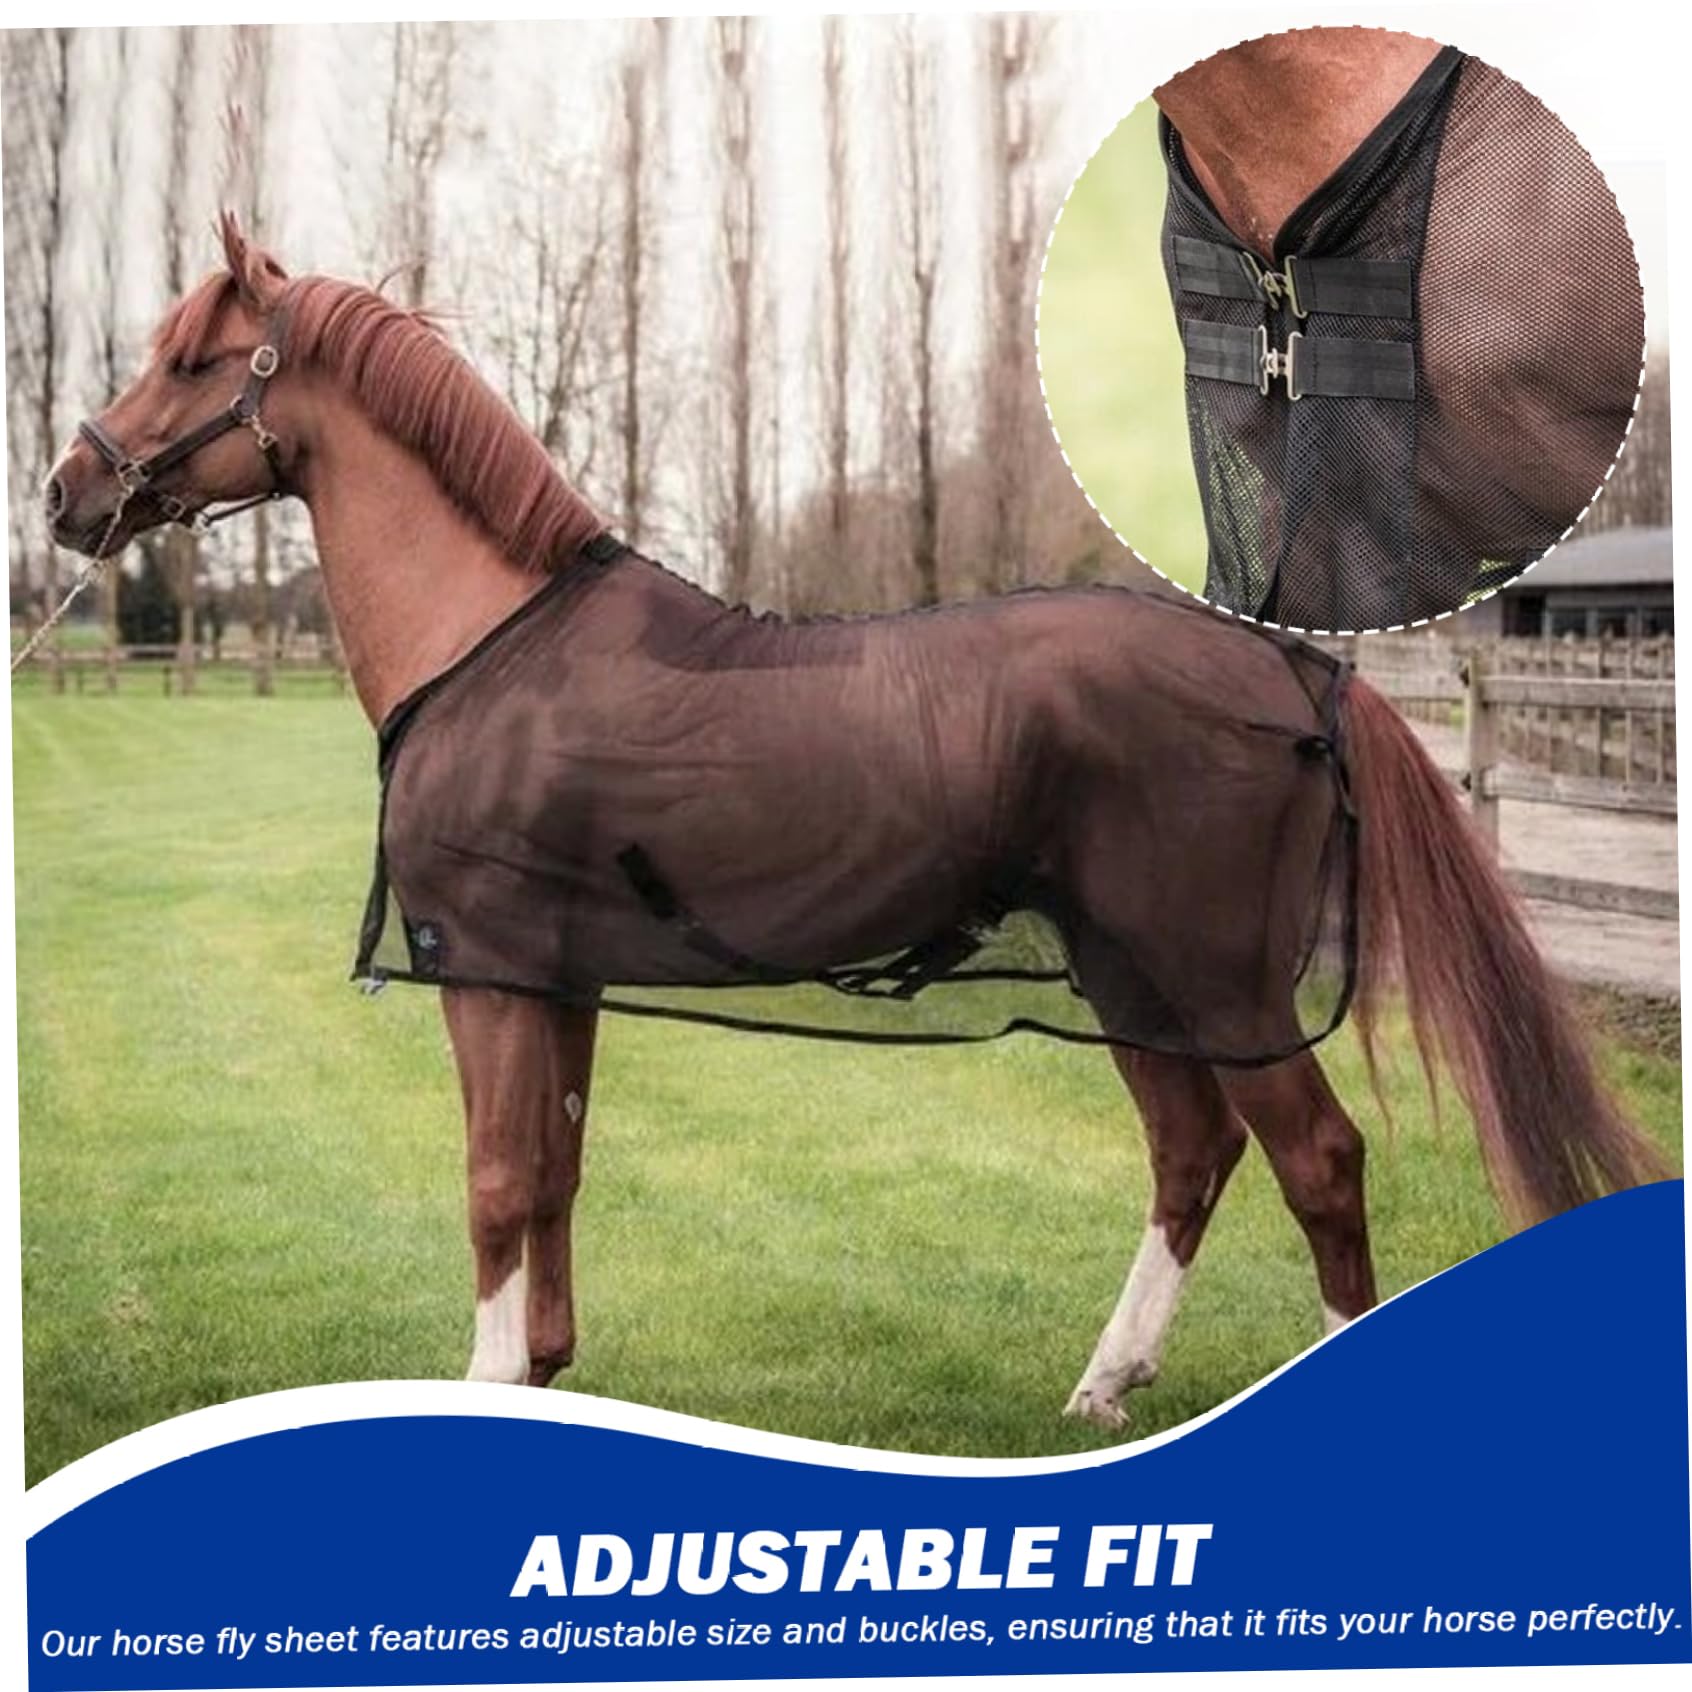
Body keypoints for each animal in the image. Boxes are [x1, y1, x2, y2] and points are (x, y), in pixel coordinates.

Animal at [43, 215, 1663, 1433]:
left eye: (190, 357)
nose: (65, 493)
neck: (493, 643)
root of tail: (1289, 663)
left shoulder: (489, 974)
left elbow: (498, 1183)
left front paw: (492, 1381)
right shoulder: (554, 981)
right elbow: (555, 1173)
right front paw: (547, 1372)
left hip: (1214, 979)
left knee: (1317, 1163)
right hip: (1130, 974)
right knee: (1191, 1155)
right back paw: (1107, 1380)